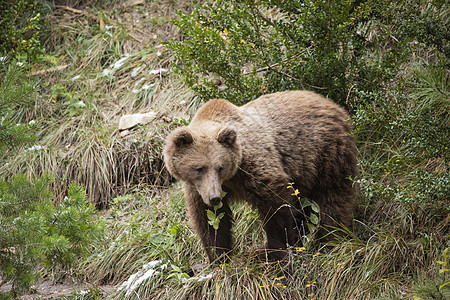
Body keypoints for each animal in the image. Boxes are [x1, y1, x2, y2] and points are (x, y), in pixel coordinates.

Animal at [163, 89, 356, 262]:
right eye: (199, 168)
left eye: (220, 167)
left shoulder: (253, 167)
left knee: (333, 198)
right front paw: (219, 257)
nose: (214, 197)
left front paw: (274, 250)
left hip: (327, 153)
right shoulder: (198, 189)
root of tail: (333, 104)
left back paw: (329, 240)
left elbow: (275, 204)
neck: (230, 179)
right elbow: (210, 220)